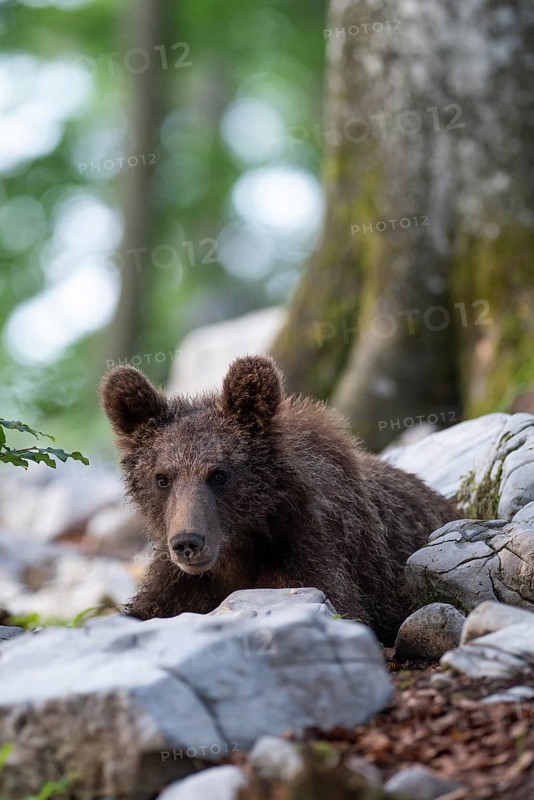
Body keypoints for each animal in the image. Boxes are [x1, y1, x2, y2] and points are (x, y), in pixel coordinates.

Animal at [100, 355, 456, 644]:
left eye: (218, 474)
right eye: (162, 478)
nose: (188, 542)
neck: (239, 549)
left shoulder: (309, 557)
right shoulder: (178, 582)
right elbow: (148, 608)